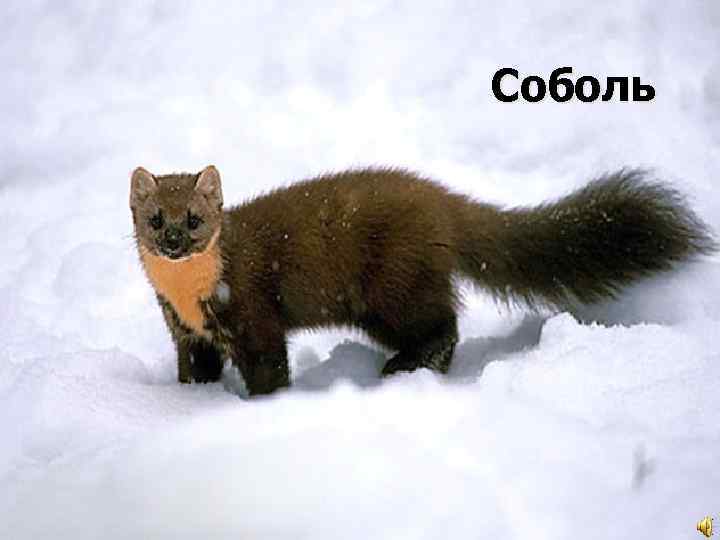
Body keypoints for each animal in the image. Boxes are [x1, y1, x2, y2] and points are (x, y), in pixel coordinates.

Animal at [130, 165, 715, 395]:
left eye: (195, 219)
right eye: (156, 218)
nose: (174, 241)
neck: (191, 296)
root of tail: (440, 199)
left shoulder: (254, 314)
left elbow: (270, 367)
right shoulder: (187, 332)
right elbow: (195, 371)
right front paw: (193, 401)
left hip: (393, 287)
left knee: (443, 325)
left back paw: (406, 367)